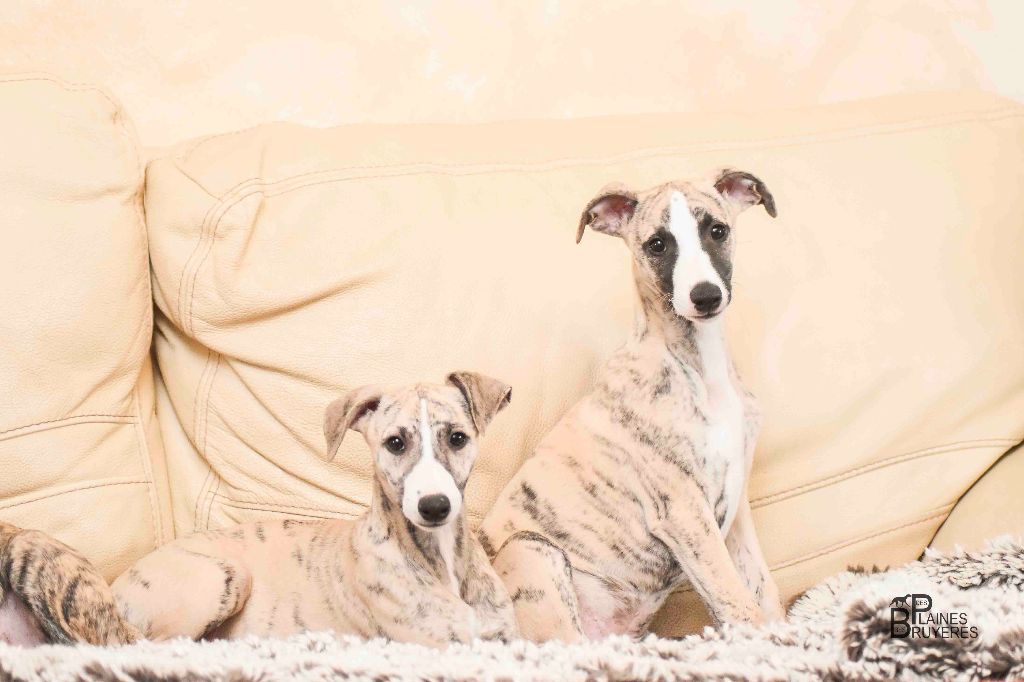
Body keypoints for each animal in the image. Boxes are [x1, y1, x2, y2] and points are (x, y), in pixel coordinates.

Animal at [110, 372, 517, 646]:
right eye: (395, 443)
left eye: (458, 438)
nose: (434, 507)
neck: (441, 558)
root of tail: (118, 587)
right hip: (225, 576)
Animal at [479, 169, 784, 642]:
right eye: (657, 244)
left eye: (717, 230)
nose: (705, 297)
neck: (700, 370)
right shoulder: (684, 512)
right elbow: (739, 605)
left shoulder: (736, 511)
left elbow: (763, 593)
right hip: (531, 552)